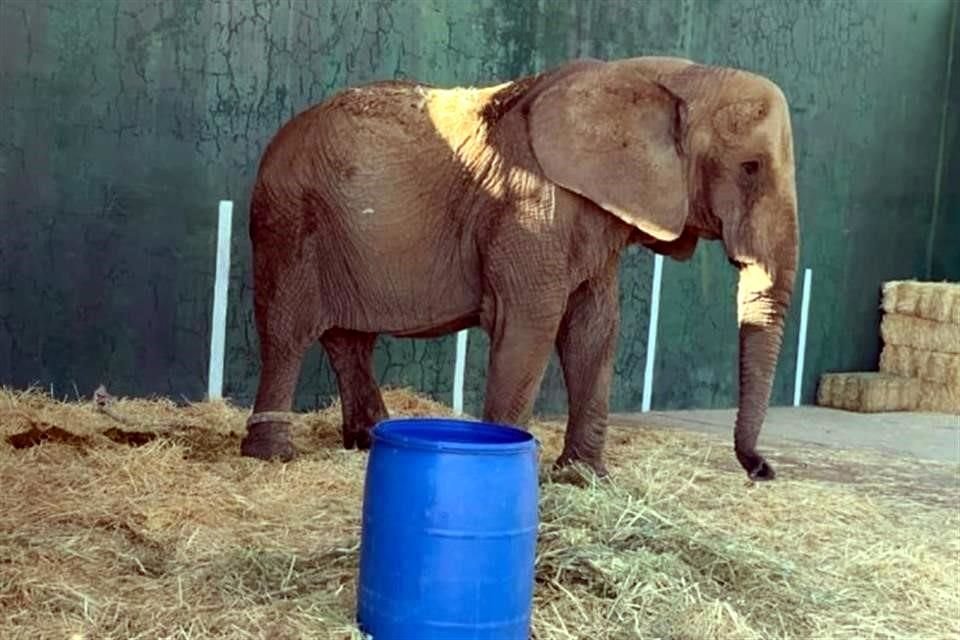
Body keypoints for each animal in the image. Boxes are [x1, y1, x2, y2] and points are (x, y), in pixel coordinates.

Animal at [238, 56, 796, 480]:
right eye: (750, 168)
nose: (762, 469)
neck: (668, 76)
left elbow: (594, 330)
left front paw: (584, 480)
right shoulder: (528, 208)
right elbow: (531, 325)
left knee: (350, 339)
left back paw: (368, 440)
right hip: (287, 219)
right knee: (287, 331)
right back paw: (273, 456)